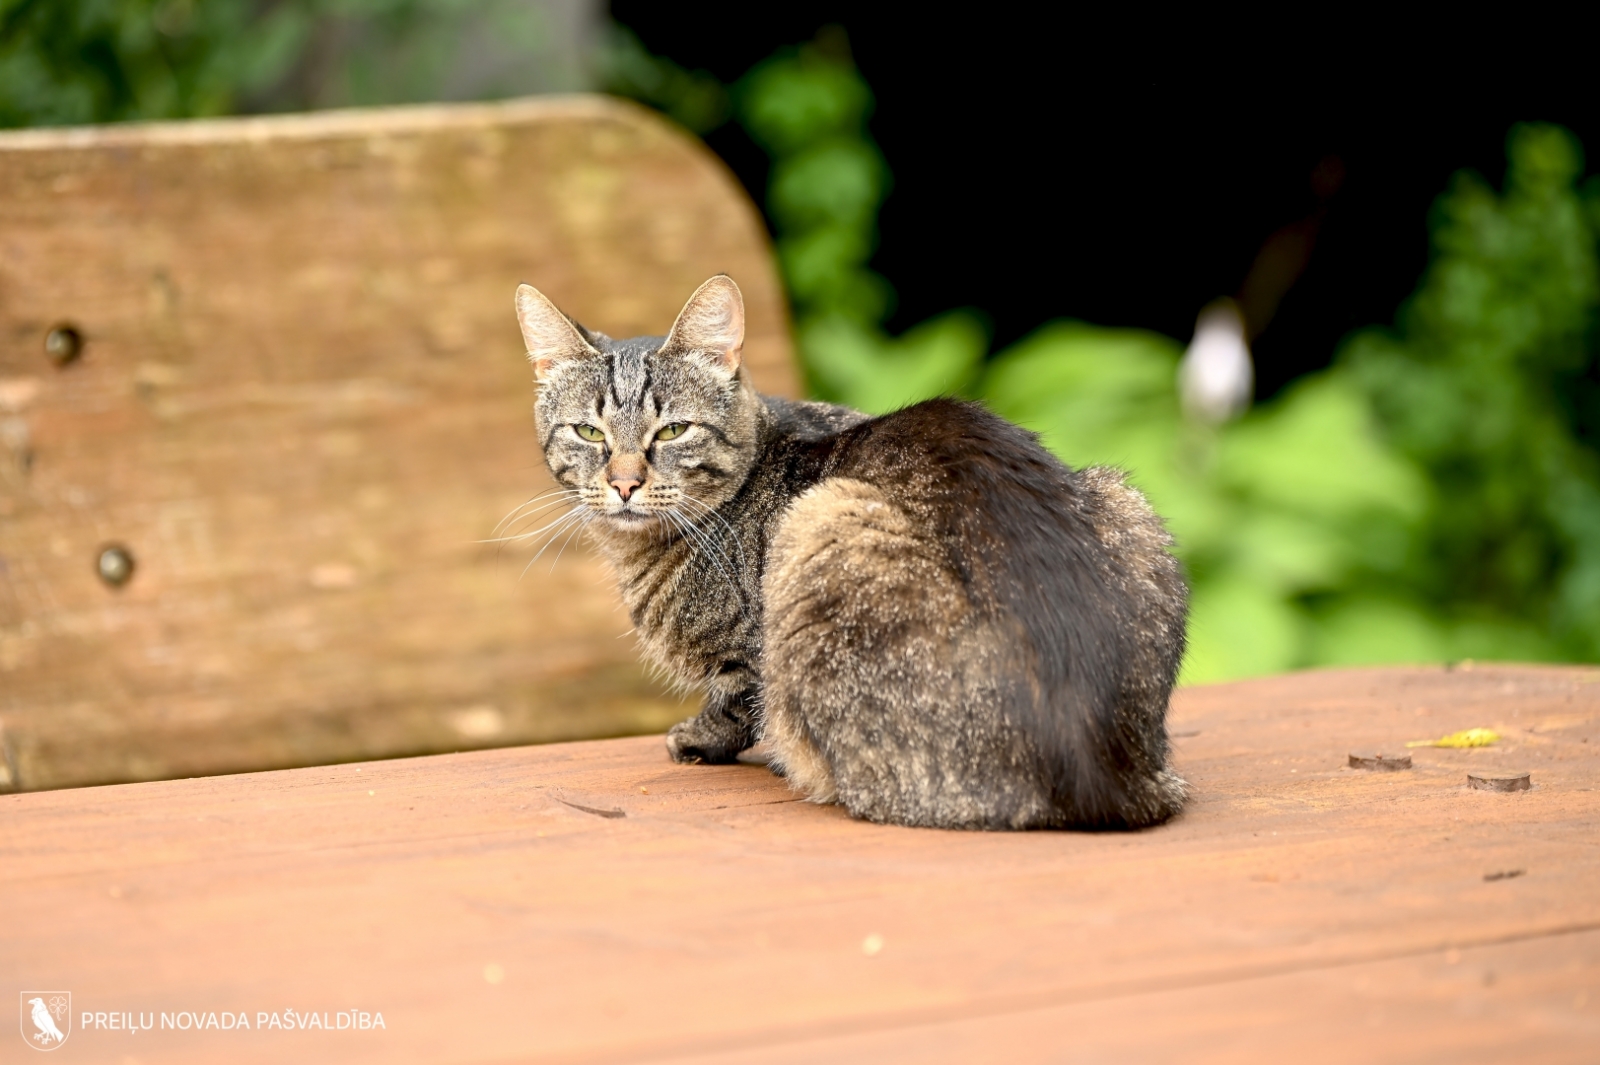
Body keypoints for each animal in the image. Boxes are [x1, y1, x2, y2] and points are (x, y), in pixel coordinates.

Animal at [512, 273, 1190, 831]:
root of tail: (1109, 773)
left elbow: (738, 703)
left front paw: (696, 739)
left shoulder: (750, 654)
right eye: (589, 432)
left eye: (674, 430)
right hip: (1125, 499)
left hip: (821, 522)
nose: (625, 483)